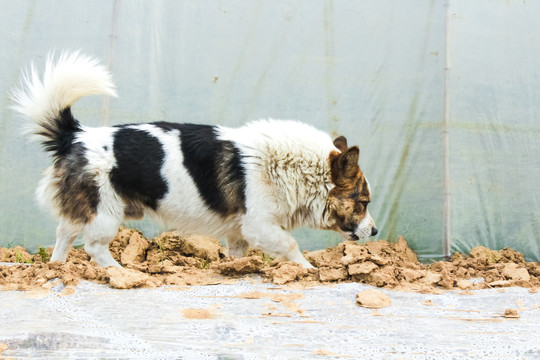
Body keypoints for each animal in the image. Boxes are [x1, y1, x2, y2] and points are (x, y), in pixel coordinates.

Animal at [10, 52, 378, 268]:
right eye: (363, 202)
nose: (375, 231)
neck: (294, 169)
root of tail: (74, 135)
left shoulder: (239, 235)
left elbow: (237, 256)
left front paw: (232, 270)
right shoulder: (260, 226)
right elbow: (291, 247)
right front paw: (308, 272)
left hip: (83, 210)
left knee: (64, 234)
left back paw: (58, 268)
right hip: (105, 214)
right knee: (93, 247)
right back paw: (118, 271)